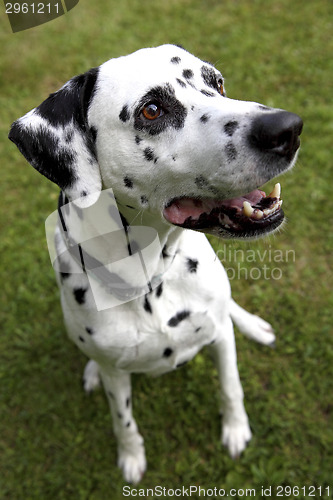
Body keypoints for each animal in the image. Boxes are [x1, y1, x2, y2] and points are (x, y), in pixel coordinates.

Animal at [9, 45, 300, 482]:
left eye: (217, 83)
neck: (152, 280)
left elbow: (231, 385)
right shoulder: (116, 378)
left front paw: (236, 428)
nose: (287, 128)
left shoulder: (219, 336)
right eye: (152, 110)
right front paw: (131, 457)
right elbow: (123, 421)